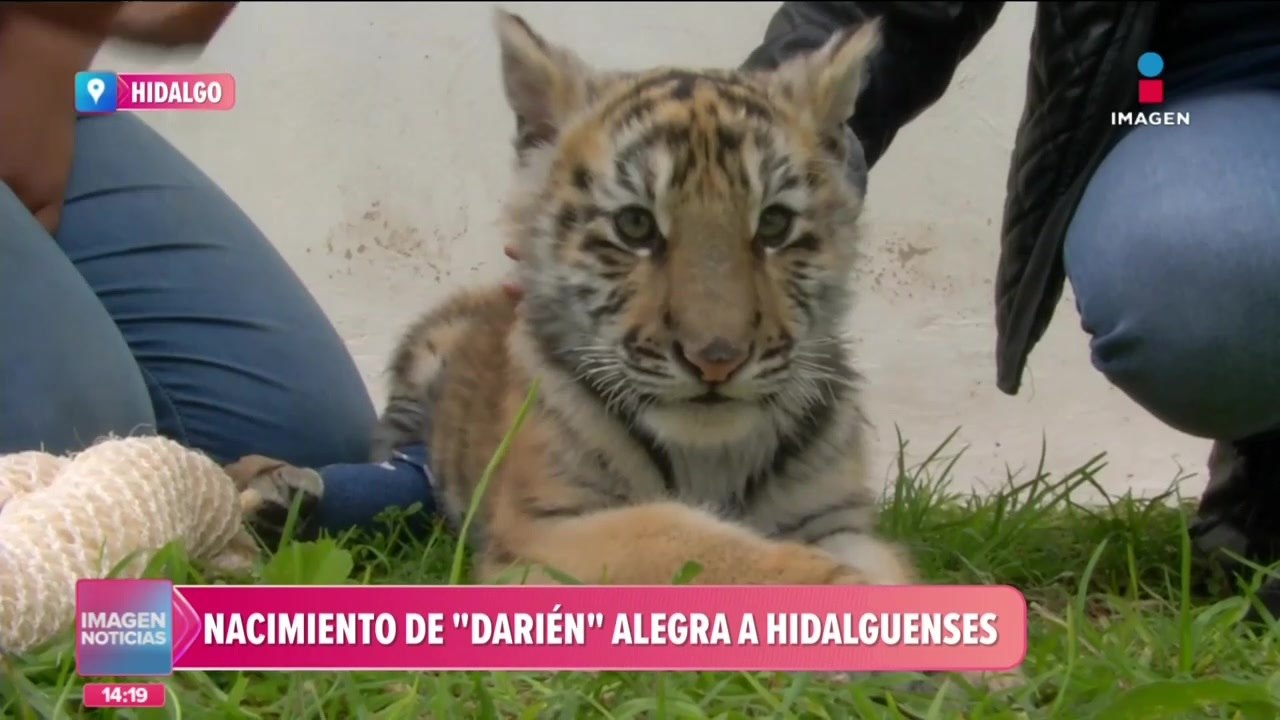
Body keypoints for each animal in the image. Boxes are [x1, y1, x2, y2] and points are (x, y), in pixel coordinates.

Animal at [355, 7, 923, 591]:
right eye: (635, 226)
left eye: (774, 224)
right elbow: (677, 535)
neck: (713, 455)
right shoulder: (541, 534)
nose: (716, 360)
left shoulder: (836, 519)